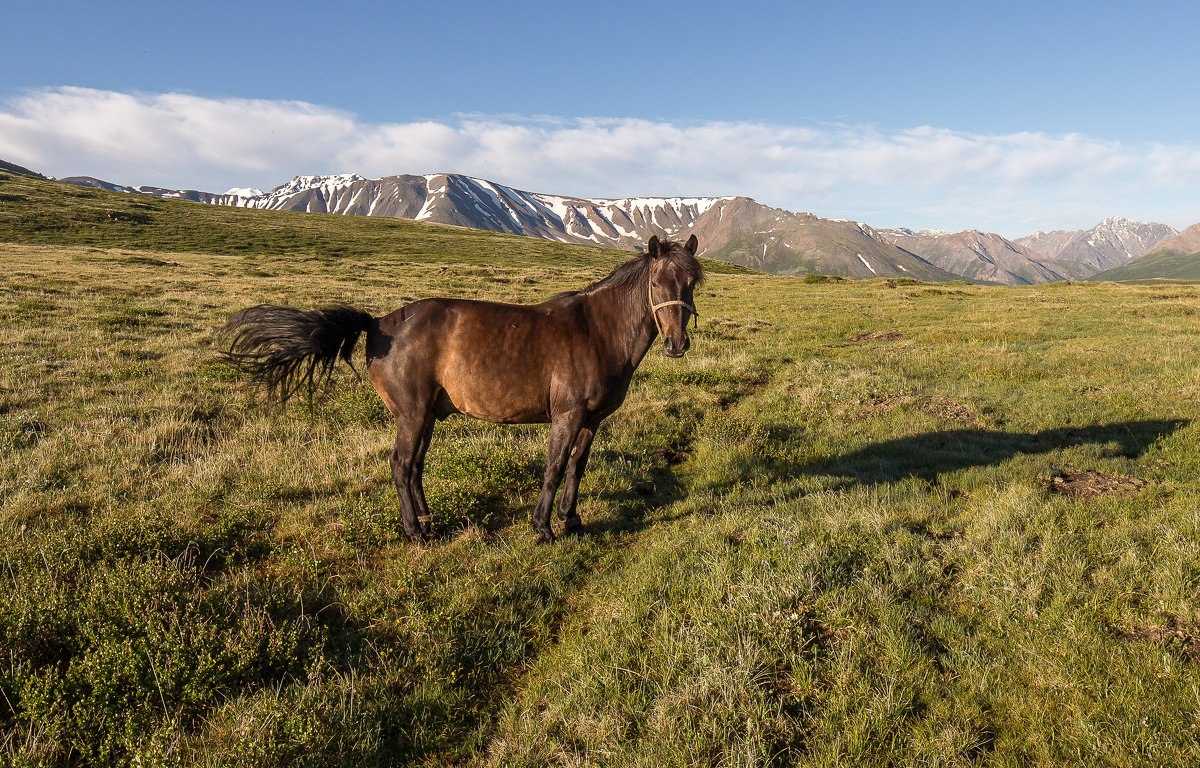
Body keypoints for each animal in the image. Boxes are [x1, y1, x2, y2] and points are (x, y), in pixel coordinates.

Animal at [223, 237, 700, 542]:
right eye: (656, 282)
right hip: (412, 413)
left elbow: (576, 469)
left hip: (427, 416)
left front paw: (572, 520)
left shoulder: (591, 420)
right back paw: (414, 532)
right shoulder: (566, 416)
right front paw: (543, 528)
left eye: (692, 282)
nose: (677, 343)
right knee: (400, 464)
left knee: (414, 467)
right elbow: (553, 468)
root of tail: (378, 324)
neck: (596, 330)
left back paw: (428, 522)